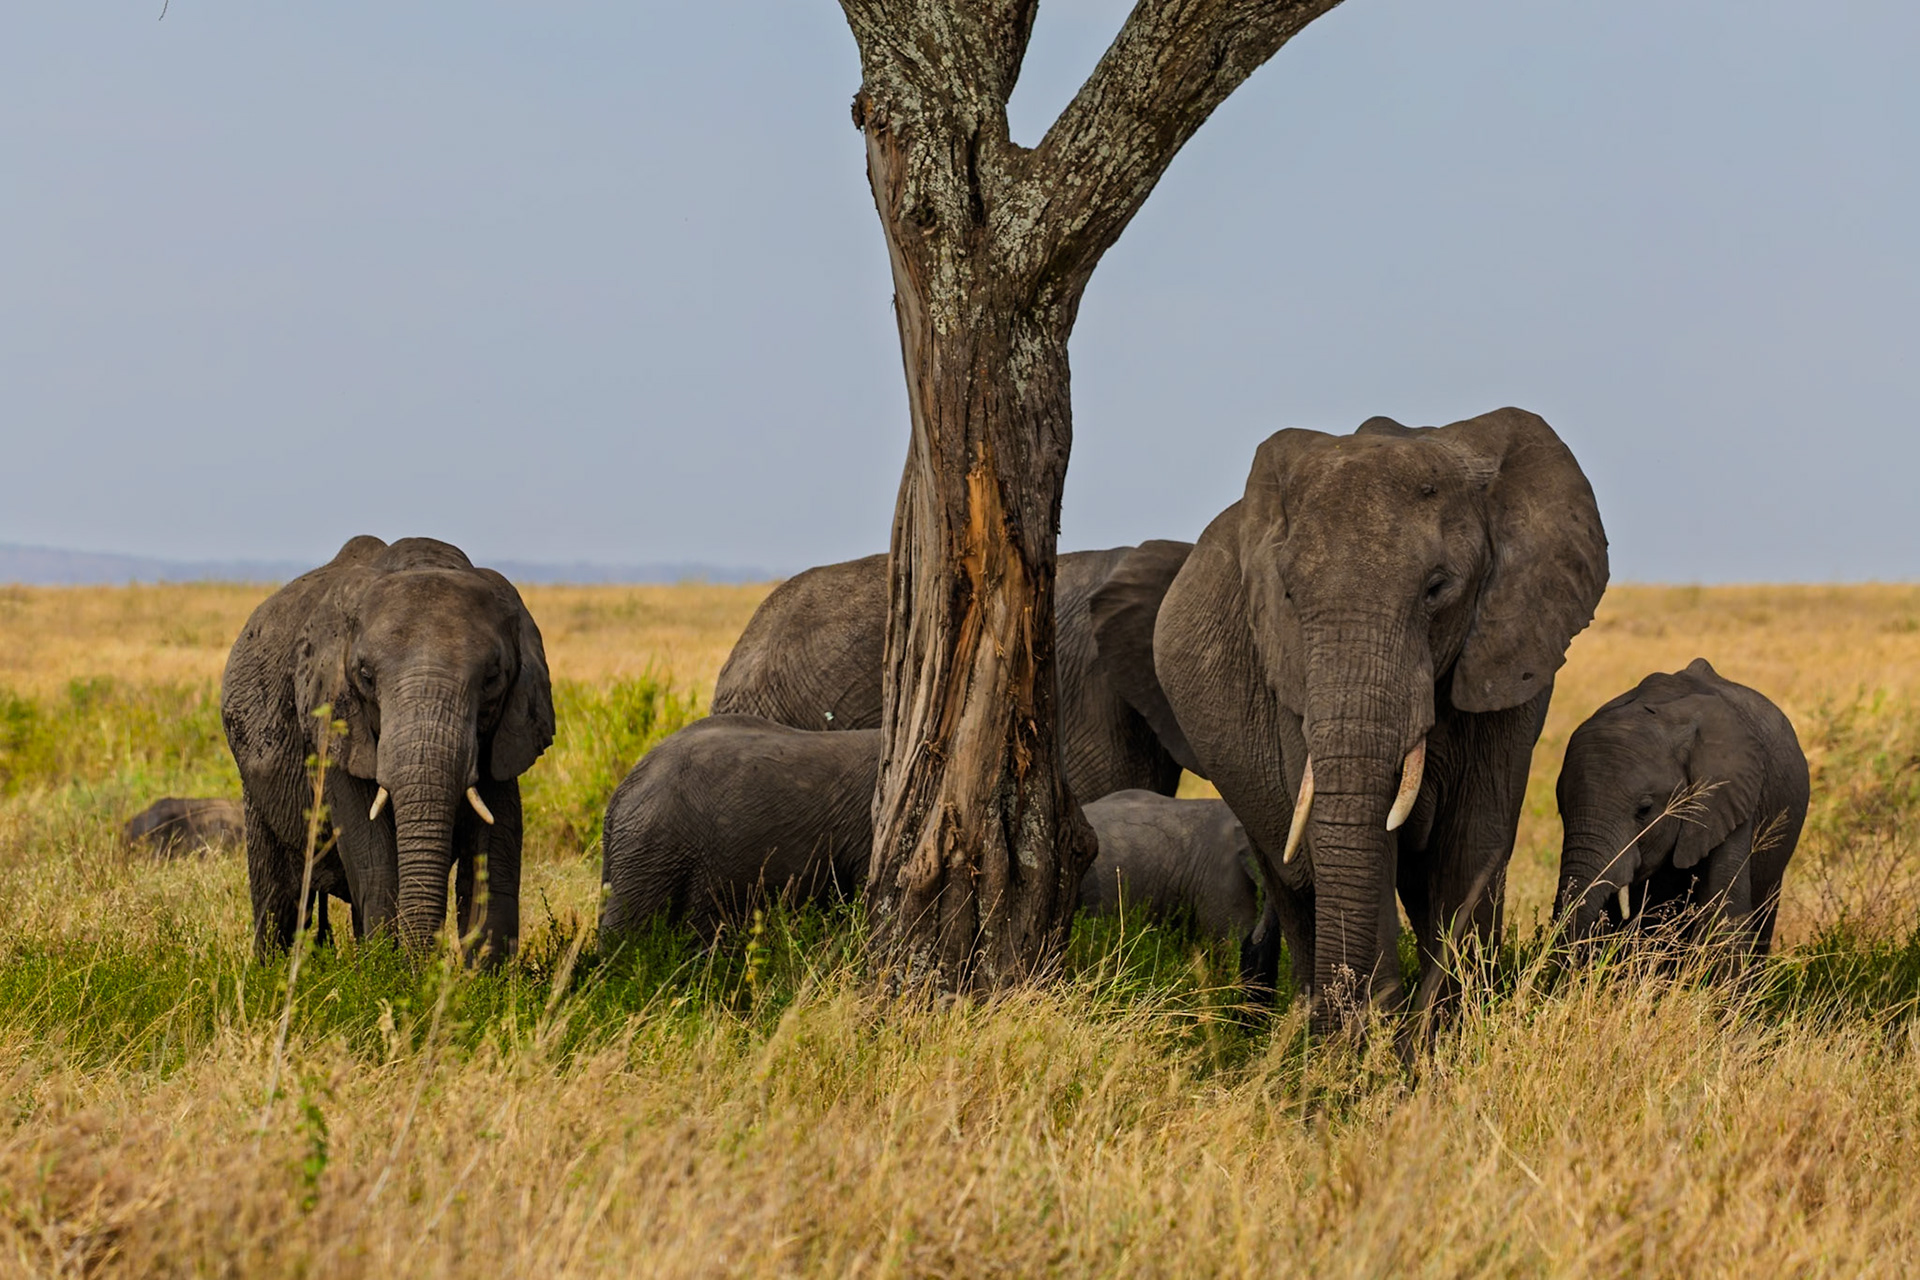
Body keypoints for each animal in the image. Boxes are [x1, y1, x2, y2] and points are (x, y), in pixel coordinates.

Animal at [222, 535, 553, 960]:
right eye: (365, 676)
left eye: (493, 677)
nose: (425, 967)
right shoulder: (336, 723)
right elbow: (373, 855)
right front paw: (385, 970)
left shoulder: (503, 737)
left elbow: (494, 859)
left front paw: (482, 977)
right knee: (278, 895)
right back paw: (272, 968)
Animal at [1141, 407, 1609, 1030]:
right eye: (1289, 596)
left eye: (1437, 589)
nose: (1367, 1024)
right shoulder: (1291, 678)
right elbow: (1338, 841)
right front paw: (1371, 1045)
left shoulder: (1507, 657)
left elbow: (1471, 841)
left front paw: (1442, 1034)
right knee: (1291, 883)